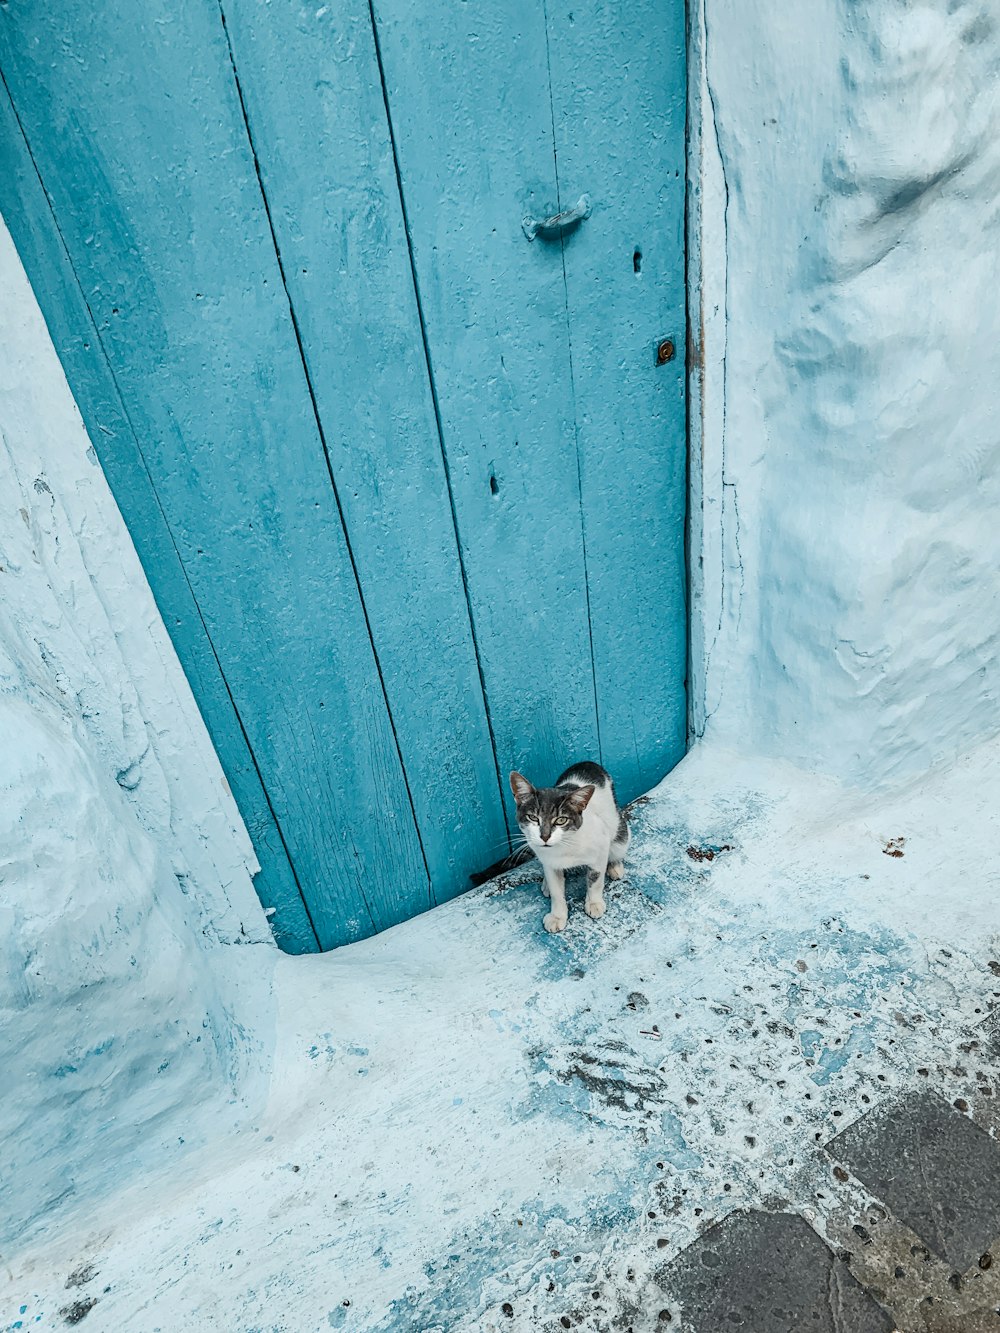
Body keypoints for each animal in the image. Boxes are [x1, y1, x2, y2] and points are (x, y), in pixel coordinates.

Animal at [472, 767, 629, 933]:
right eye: (533, 817)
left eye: (561, 820)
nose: (545, 836)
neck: (564, 845)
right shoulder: (549, 861)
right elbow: (556, 890)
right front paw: (557, 916)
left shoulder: (601, 846)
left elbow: (596, 879)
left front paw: (594, 903)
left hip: (620, 834)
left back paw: (615, 866)